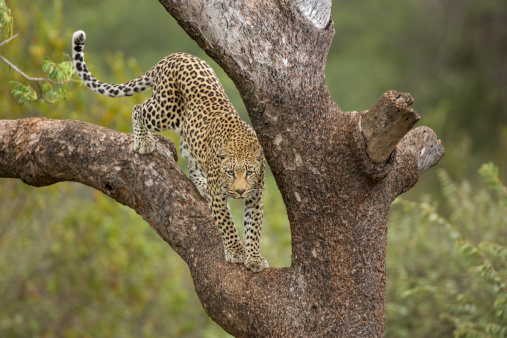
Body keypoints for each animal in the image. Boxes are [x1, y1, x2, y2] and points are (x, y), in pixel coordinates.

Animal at [73, 29, 270, 272]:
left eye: (249, 172)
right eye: (230, 172)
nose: (240, 191)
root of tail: (173, 56)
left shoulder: (256, 196)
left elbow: (254, 227)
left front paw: (254, 257)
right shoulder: (219, 195)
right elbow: (227, 223)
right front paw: (235, 251)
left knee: (191, 159)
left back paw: (201, 184)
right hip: (164, 110)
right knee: (138, 108)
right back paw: (144, 142)